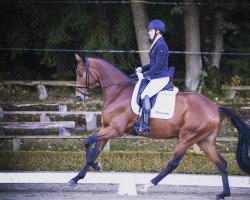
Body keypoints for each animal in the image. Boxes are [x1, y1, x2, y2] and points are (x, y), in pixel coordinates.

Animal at [68, 54, 250, 199]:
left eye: (80, 74)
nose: (78, 97)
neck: (118, 92)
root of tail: (214, 106)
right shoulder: (106, 128)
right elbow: (95, 149)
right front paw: (76, 178)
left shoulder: (114, 130)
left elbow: (87, 142)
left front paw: (97, 166)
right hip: (204, 141)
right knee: (221, 163)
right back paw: (223, 193)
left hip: (187, 138)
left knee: (173, 163)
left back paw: (147, 185)